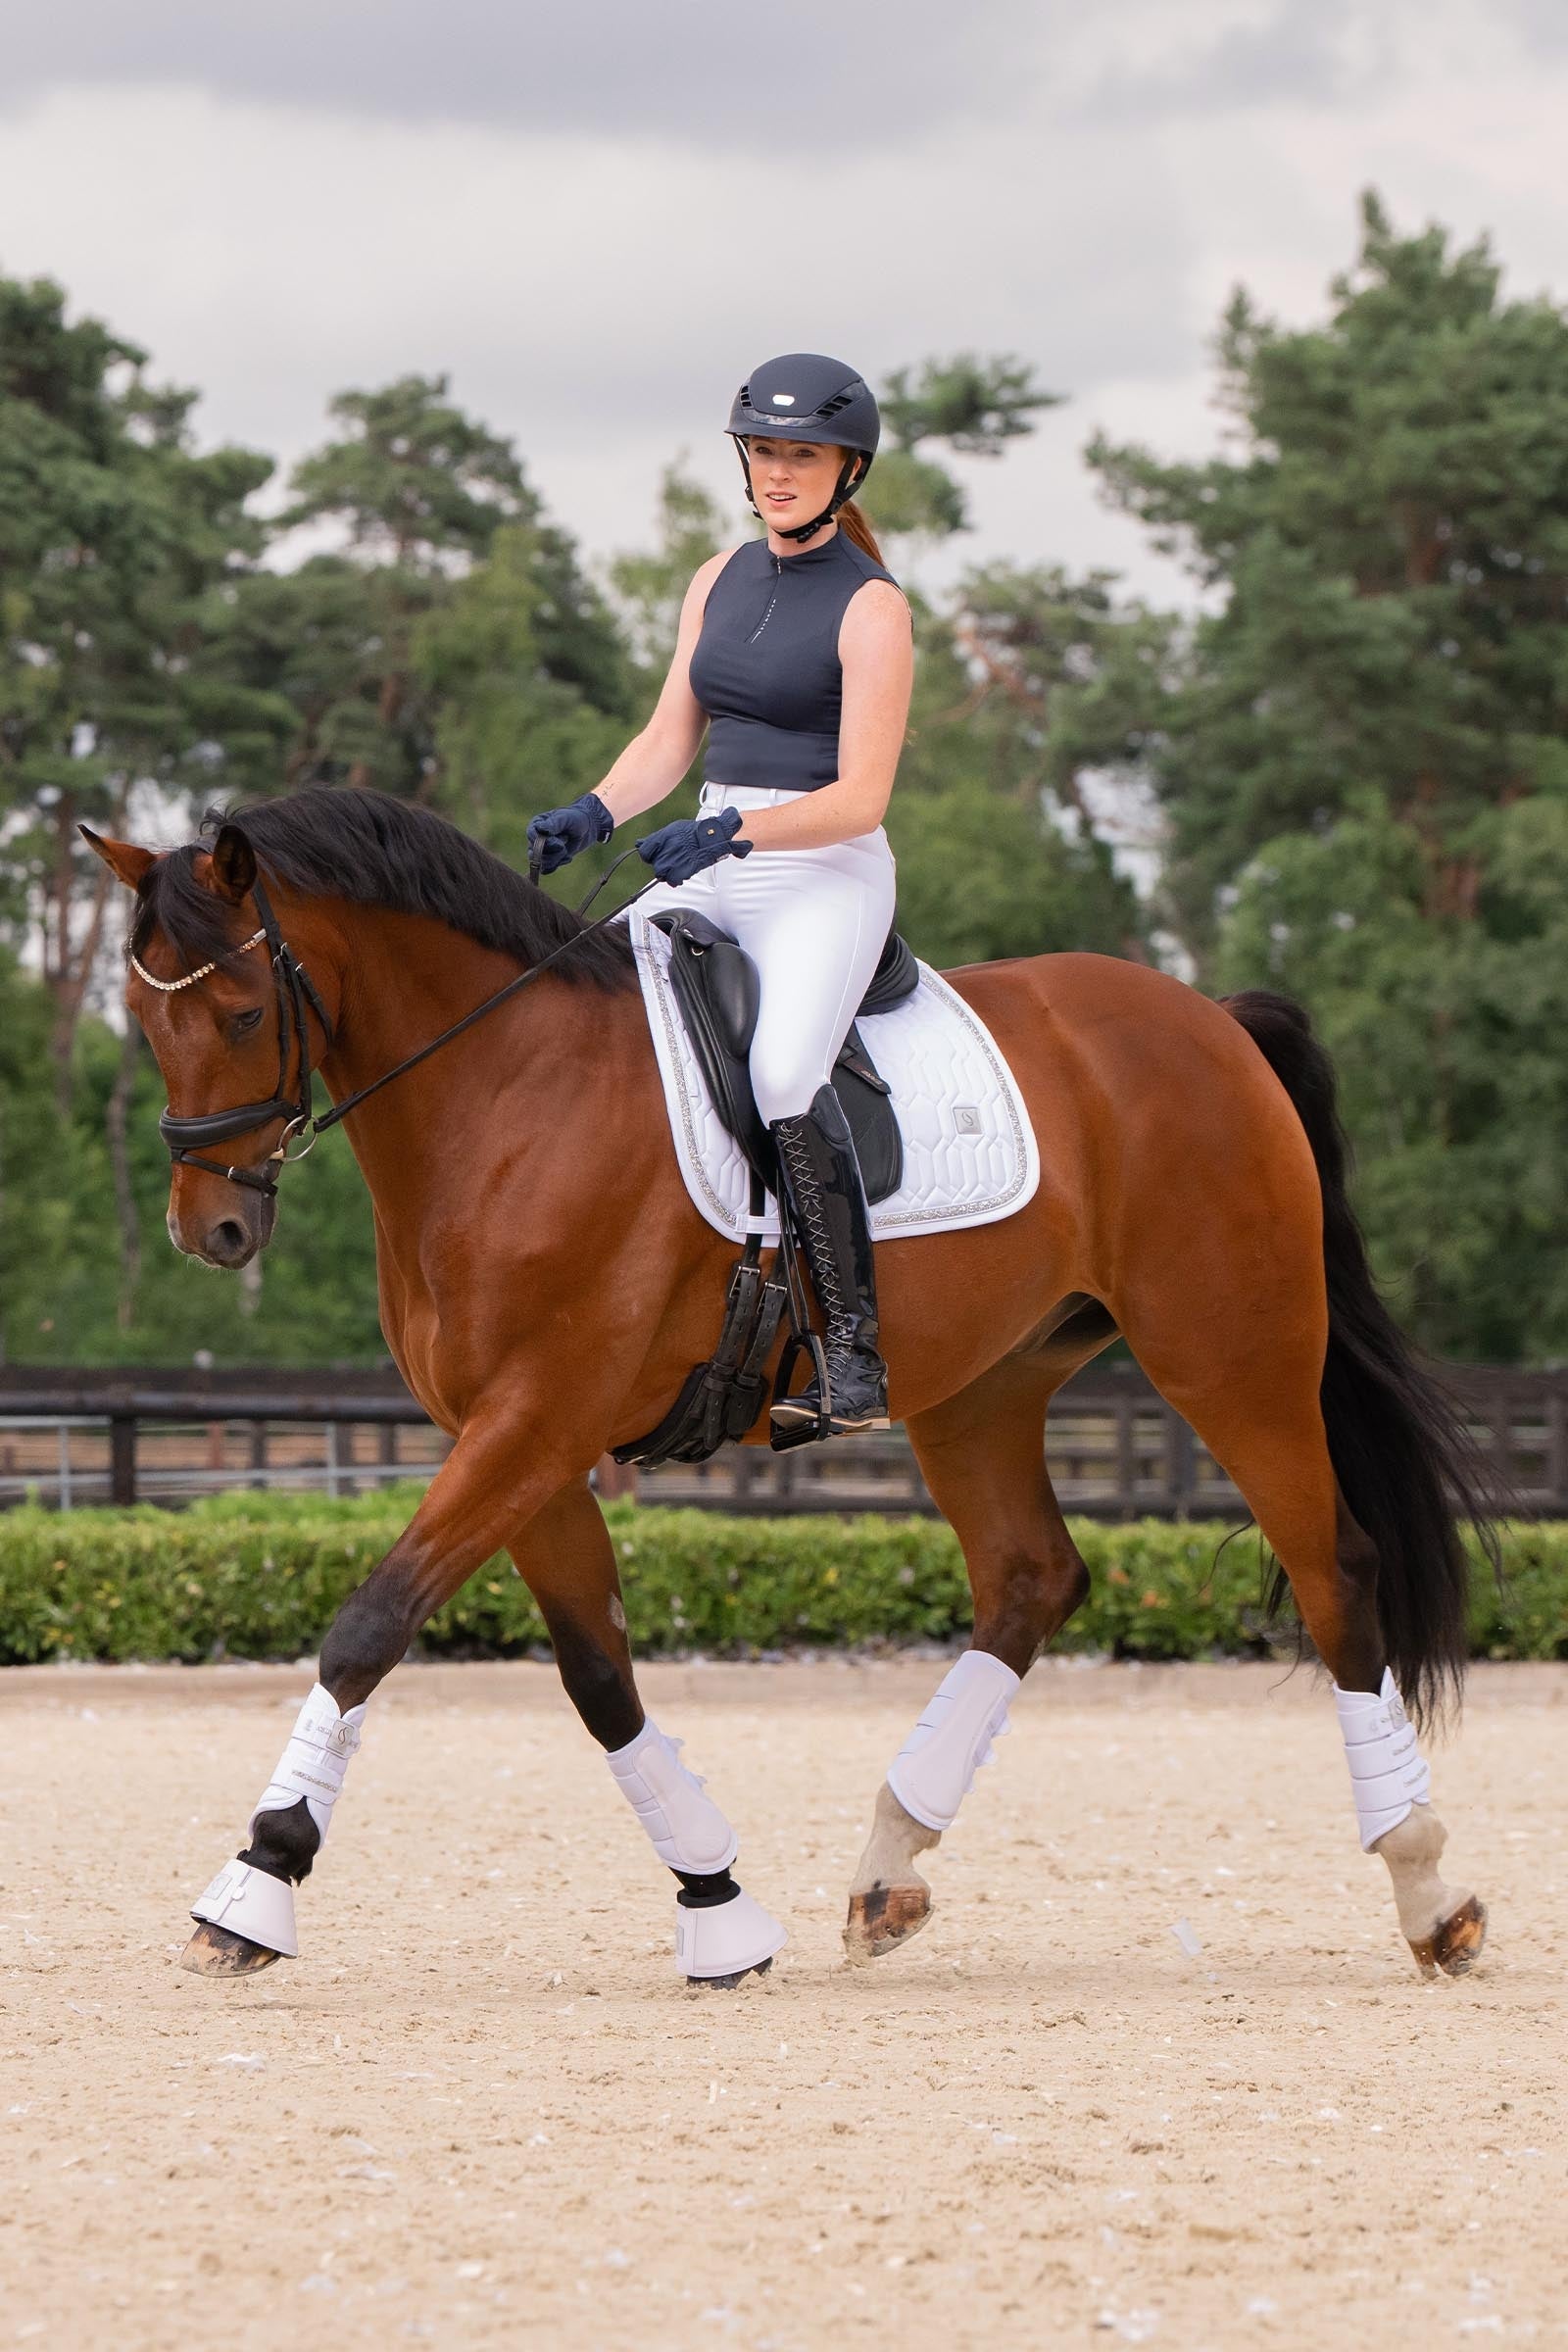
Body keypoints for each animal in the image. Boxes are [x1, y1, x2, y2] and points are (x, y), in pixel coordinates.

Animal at [83, 786, 1492, 1985]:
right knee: (1032, 1577)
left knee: (1334, 1571)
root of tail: (1211, 1020)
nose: (212, 1231)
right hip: (982, 1389)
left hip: (1231, 1356)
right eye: (147, 1024)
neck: (504, 1091)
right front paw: (716, 1907)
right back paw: (888, 1865)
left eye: (243, 1013)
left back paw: (1429, 1892)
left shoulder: (537, 1418)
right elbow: (596, 1675)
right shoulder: (522, 1439)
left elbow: (372, 1624)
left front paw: (256, 1882)